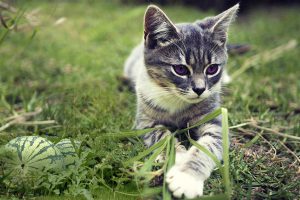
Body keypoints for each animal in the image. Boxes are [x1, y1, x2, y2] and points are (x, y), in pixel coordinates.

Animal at [123, 3, 239, 199]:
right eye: (180, 69)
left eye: (212, 69)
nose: (199, 89)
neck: (177, 101)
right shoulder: (145, 121)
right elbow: (164, 137)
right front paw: (178, 157)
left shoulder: (215, 120)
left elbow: (208, 146)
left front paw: (187, 178)